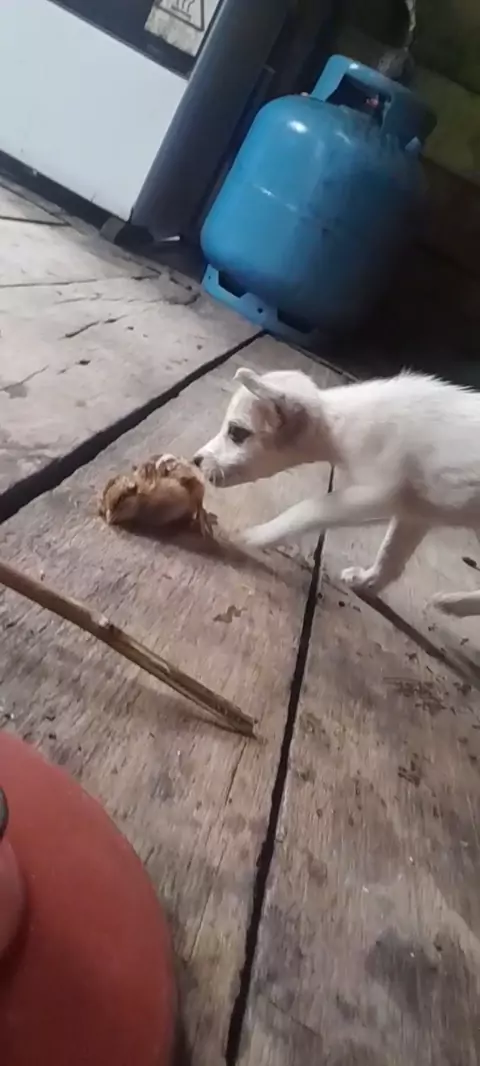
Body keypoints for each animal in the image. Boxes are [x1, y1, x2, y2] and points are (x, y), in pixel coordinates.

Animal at [193, 367, 480, 618]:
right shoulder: (415, 512)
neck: (338, 423)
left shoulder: (379, 495)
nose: (196, 460)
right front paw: (367, 581)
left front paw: (252, 536)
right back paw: (453, 604)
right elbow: (391, 555)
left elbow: (310, 508)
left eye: (236, 432)